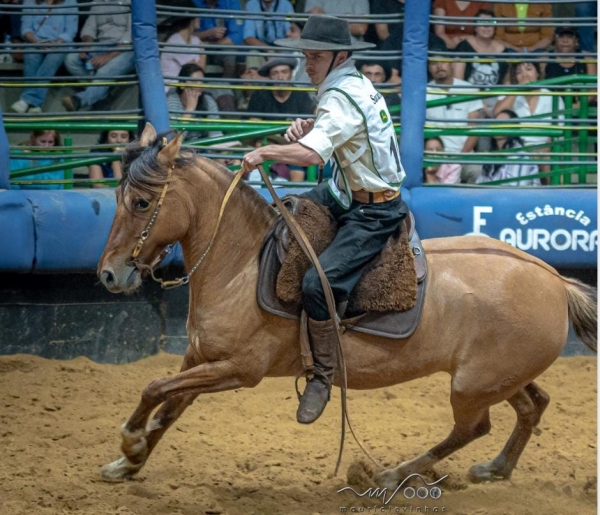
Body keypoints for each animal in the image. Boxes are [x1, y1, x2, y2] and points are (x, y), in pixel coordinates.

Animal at [97, 125, 596, 488]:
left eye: (141, 202)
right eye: (117, 199)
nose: (108, 274)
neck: (242, 264)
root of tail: (555, 280)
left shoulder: (238, 368)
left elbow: (155, 389)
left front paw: (129, 443)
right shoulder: (201, 357)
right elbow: (169, 405)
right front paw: (128, 464)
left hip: (473, 386)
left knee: (473, 428)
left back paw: (395, 474)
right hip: (498, 377)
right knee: (533, 404)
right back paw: (495, 468)